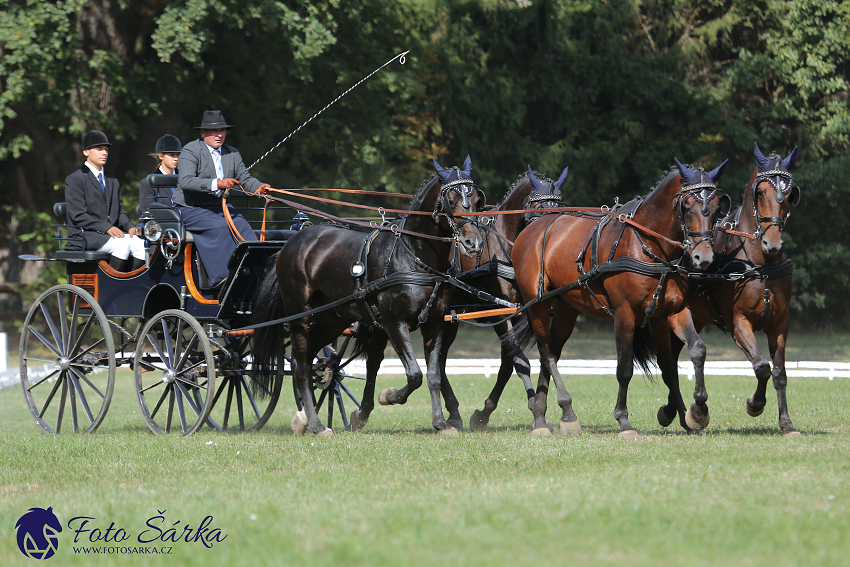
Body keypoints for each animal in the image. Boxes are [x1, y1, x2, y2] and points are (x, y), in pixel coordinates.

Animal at [250, 155, 484, 434]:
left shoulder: (436, 323)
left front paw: (440, 422)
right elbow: (414, 374)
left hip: (332, 318)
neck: (414, 256)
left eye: (477, 199)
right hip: (300, 315)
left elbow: (434, 375)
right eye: (451, 199)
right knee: (299, 364)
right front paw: (389, 396)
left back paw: (304, 418)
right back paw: (317, 425)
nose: (473, 243)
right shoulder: (395, 323)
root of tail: (290, 243)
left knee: (306, 360)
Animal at [434, 166, 568, 432]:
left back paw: (453, 413)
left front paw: (484, 413)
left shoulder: (525, 312)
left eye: (560, 207)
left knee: (440, 358)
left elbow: (512, 362)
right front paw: (537, 415)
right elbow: (519, 359)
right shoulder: (500, 311)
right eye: (538, 207)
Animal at [504, 160, 728, 440]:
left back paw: (544, 415)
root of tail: (532, 228)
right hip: (538, 305)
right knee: (546, 353)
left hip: (566, 310)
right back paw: (563, 412)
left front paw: (695, 412)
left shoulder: (671, 311)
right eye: (686, 207)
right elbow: (624, 369)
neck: (649, 247)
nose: (703, 257)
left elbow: (690, 354)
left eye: (717, 207)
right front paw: (624, 420)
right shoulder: (625, 314)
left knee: (552, 352)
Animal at [656, 144, 800, 438]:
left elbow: (779, 373)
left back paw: (673, 410)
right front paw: (754, 404)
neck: (759, 264)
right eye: (760, 192)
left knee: (674, 359)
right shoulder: (738, 323)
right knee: (668, 363)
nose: (772, 243)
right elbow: (761, 367)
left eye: (790, 193)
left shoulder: (780, 323)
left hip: (695, 319)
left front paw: (786, 423)